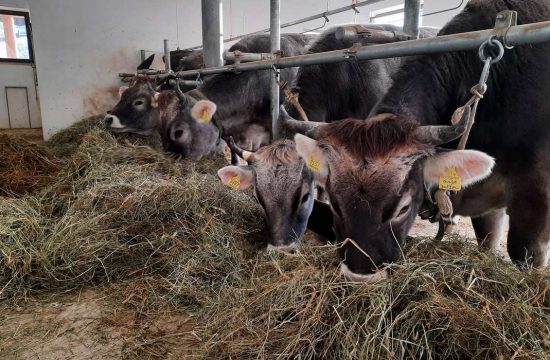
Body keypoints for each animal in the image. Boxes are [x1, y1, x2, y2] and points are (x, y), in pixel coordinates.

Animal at [286, 0, 548, 282]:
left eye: (403, 208)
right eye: (335, 204)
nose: (360, 274)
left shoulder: (536, 195)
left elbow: (525, 254)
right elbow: (487, 240)